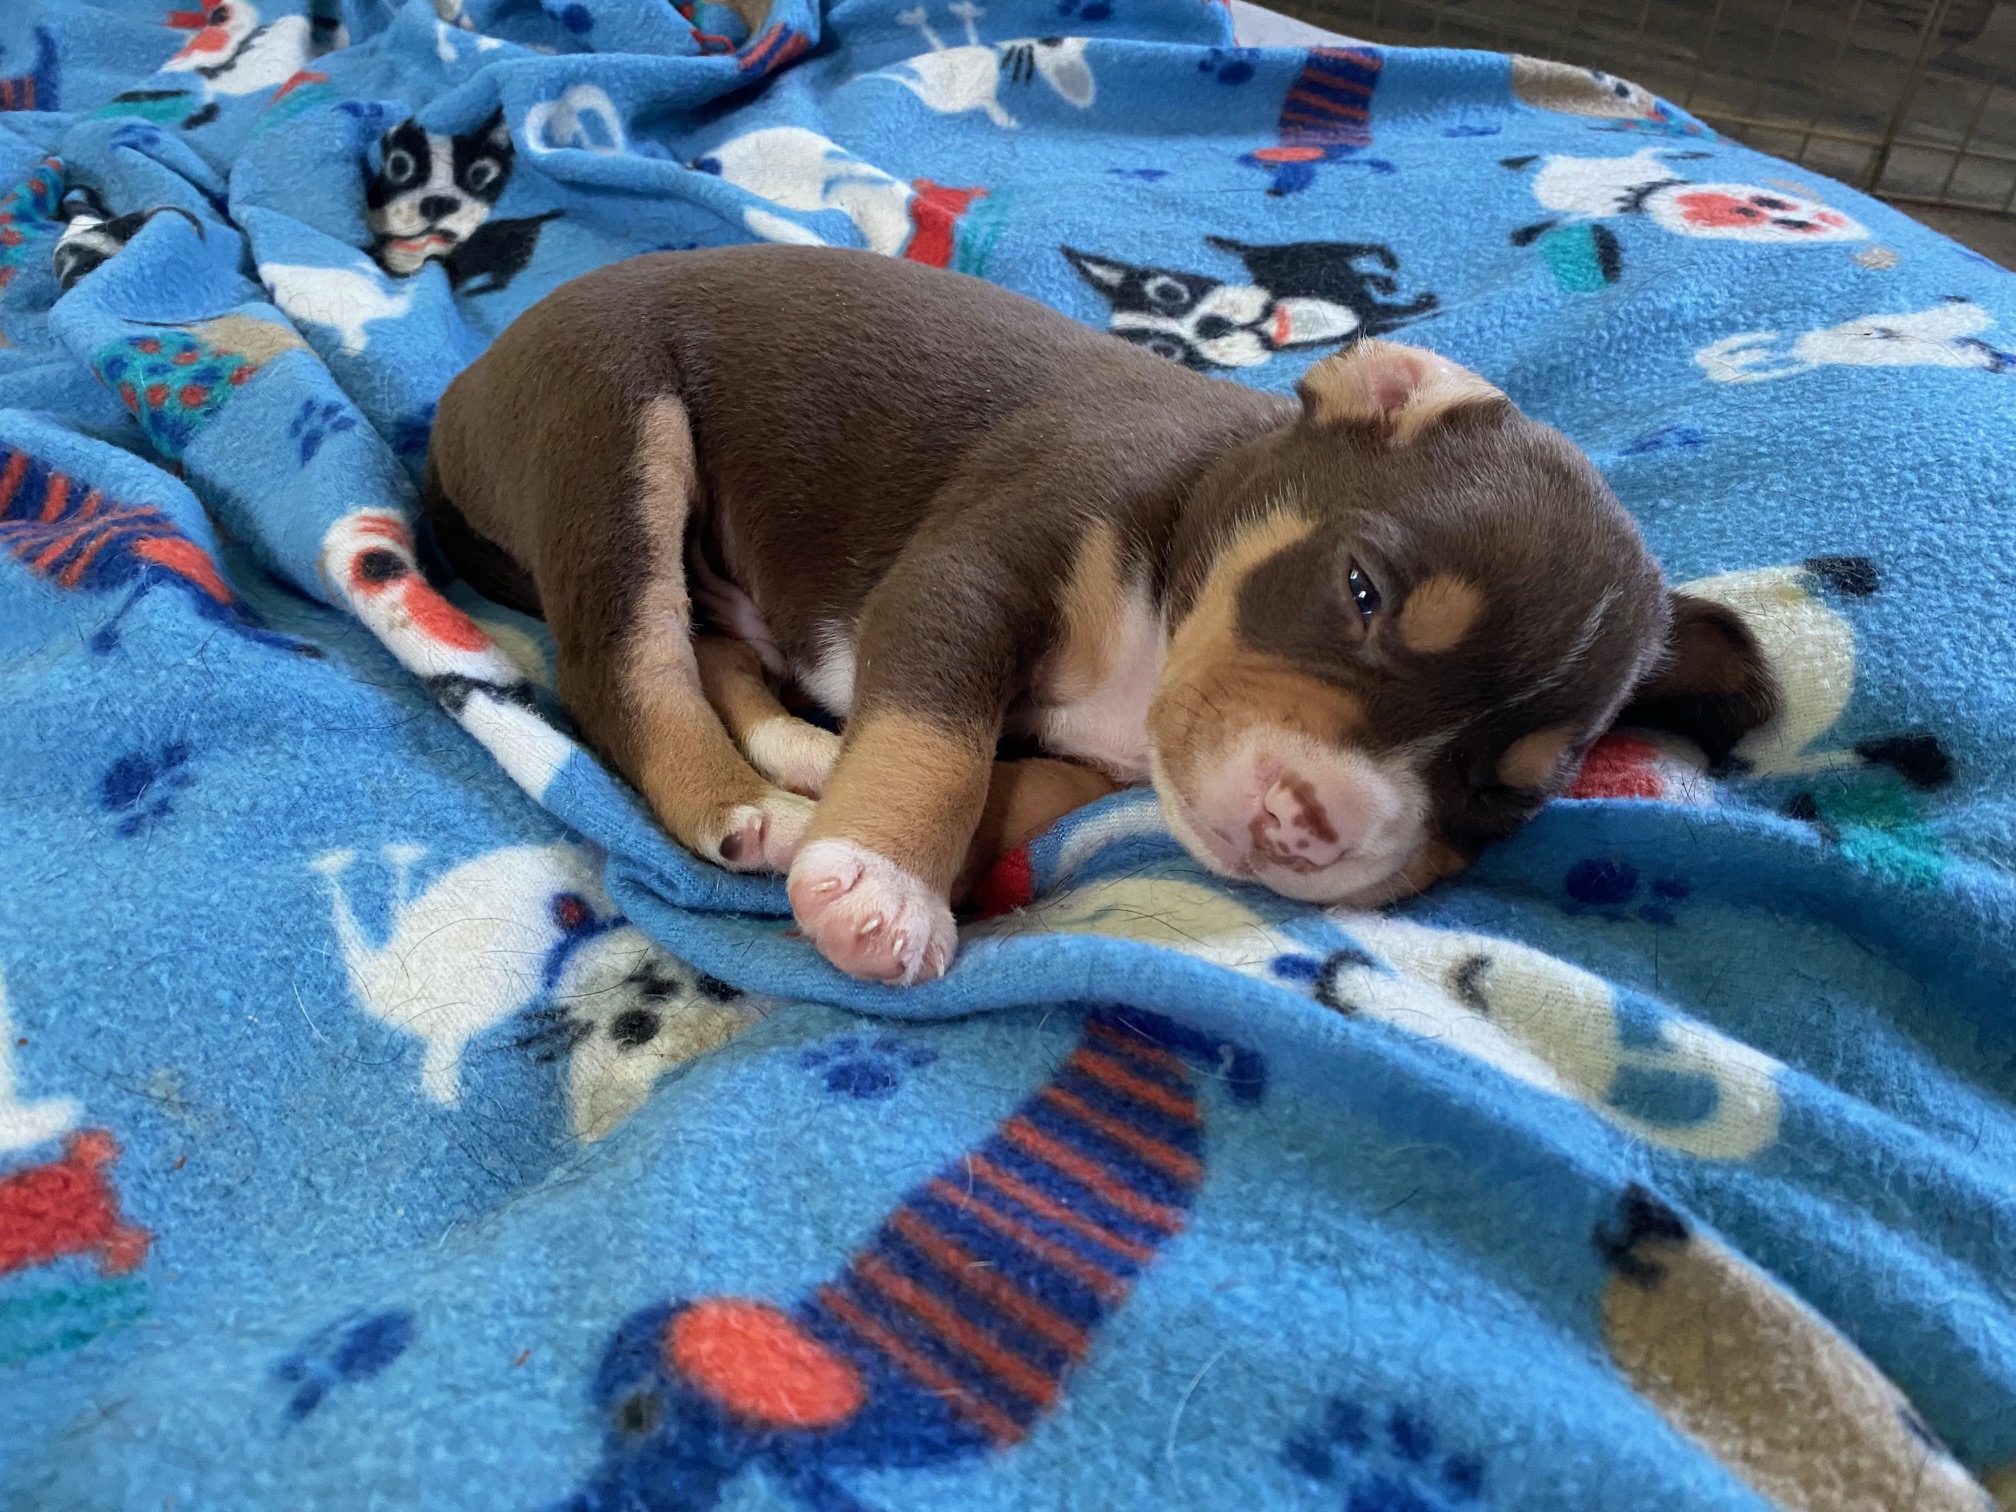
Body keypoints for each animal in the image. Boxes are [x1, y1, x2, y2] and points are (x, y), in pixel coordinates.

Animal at [423, 247, 1775, 985]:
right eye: (1360, 592)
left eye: (1505, 796)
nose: (1312, 827)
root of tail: (465, 391)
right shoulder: (971, 575)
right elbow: (941, 743)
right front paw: (889, 891)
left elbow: (1037, 787)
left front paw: (970, 855)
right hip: (618, 435)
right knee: (628, 666)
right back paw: (743, 803)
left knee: (714, 652)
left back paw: (803, 756)